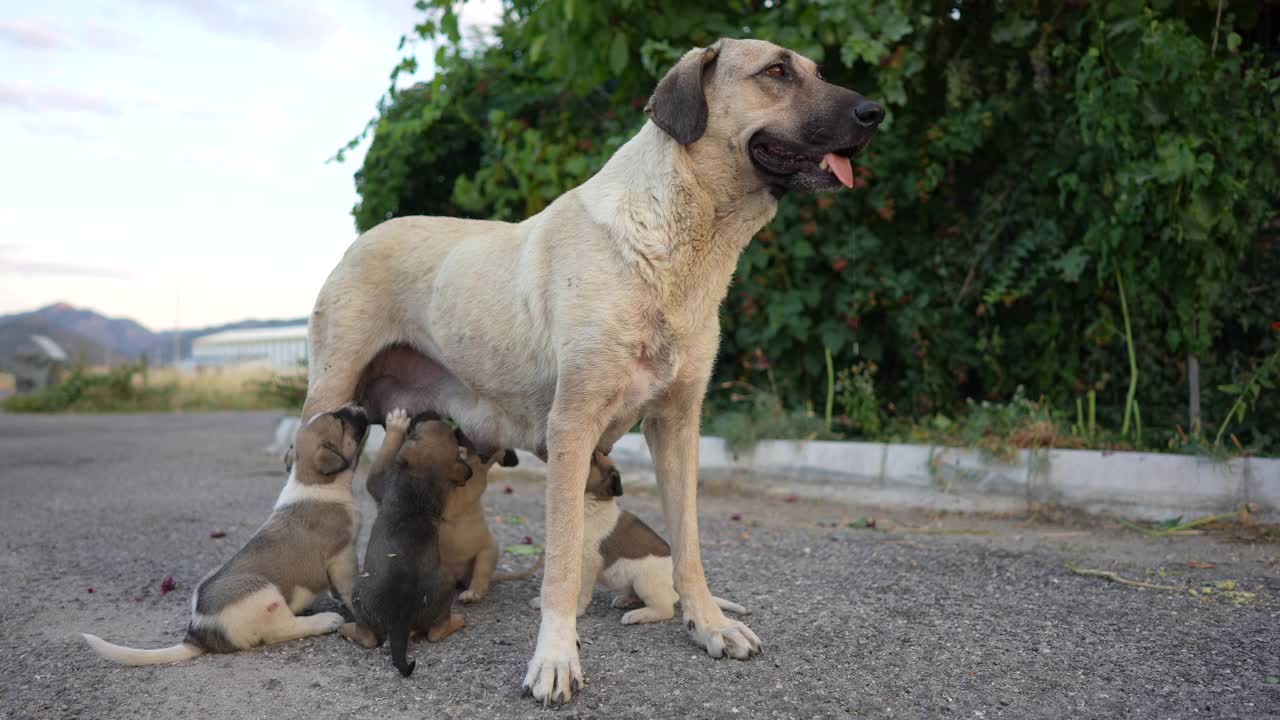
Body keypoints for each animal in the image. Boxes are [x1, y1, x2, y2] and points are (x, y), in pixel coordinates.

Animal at [82, 404, 368, 661]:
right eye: (340, 421)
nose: (359, 405)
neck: (313, 481)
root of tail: (198, 633)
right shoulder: (342, 555)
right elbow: (349, 586)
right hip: (263, 593)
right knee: (281, 629)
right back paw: (325, 620)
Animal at [343, 407, 473, 676]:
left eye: (414, 432)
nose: (429, 412)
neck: (422, 477)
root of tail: (399, 618)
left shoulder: (378, 480)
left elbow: (386, 453)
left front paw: (396, 424)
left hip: (363, 591)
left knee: (426, 633)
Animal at [532, 453, 747, 622]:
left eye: (593, 457)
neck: (590, 504)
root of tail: (675, 586)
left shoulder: (589, 563)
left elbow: (580, 591)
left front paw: (576, 610)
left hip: (644, 580)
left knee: (665, 609)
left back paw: (637, 615)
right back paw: (627, 600)